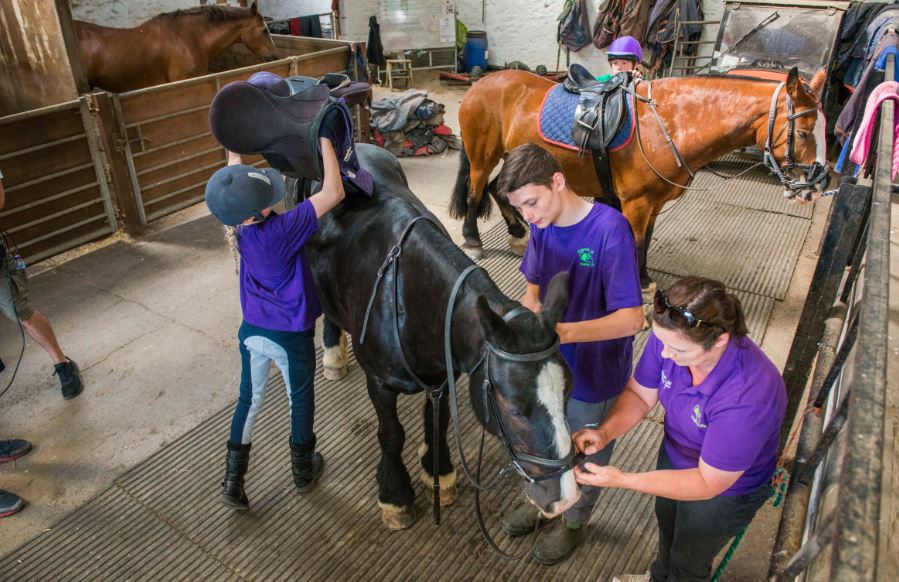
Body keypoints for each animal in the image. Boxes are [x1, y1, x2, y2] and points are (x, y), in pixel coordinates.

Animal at [306, 144, 580, 532]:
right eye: (514, 408)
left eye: (568, 392)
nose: (565, 496)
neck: (406, 294)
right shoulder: (380, 382)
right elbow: (391, 434)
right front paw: (395, 495)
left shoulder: (444, 374)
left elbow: (439, 422)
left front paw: (439, 472)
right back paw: (332, 355)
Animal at [454, 67, 828, 296]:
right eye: (804, 132)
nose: (818, 184)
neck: (668, 123)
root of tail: (481, 84)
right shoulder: (636, 202)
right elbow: (634, 243)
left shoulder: (654, 203)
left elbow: (646, 241)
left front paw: (646, 279)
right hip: (483, 155)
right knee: (475, 191)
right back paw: (473, 239)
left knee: (497, 189)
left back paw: (518, 233)